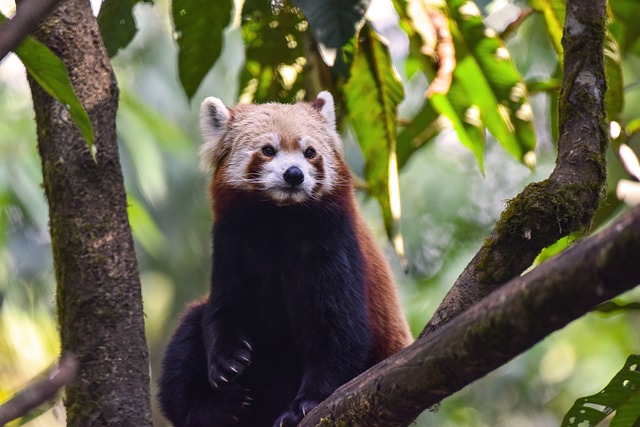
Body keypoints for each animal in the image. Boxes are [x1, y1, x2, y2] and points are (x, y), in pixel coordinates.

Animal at [158, 93, 412, 427]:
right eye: (268, 150)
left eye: (310, 152)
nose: (294, 174)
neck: (279, 219)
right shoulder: (231, 243)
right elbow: (221, 308)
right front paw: (227, 360)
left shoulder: (334, 242)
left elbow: (340, 330)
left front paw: (305, 404)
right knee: (188, 333)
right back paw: (213, 408)